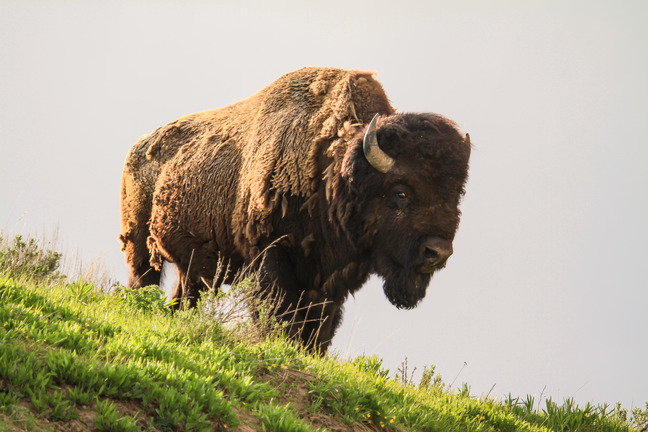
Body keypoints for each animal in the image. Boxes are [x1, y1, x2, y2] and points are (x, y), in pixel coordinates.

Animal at [120, 67, 470, 352]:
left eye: (457, 196)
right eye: (401, 192)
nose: (437, 252)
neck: (334, 172)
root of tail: (138, 148)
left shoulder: (329, 283)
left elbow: (319, 329)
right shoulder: (270, 257)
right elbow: (277, 313)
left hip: (194, 269)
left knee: (184, 296)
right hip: (139, 245)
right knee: (143, 279)